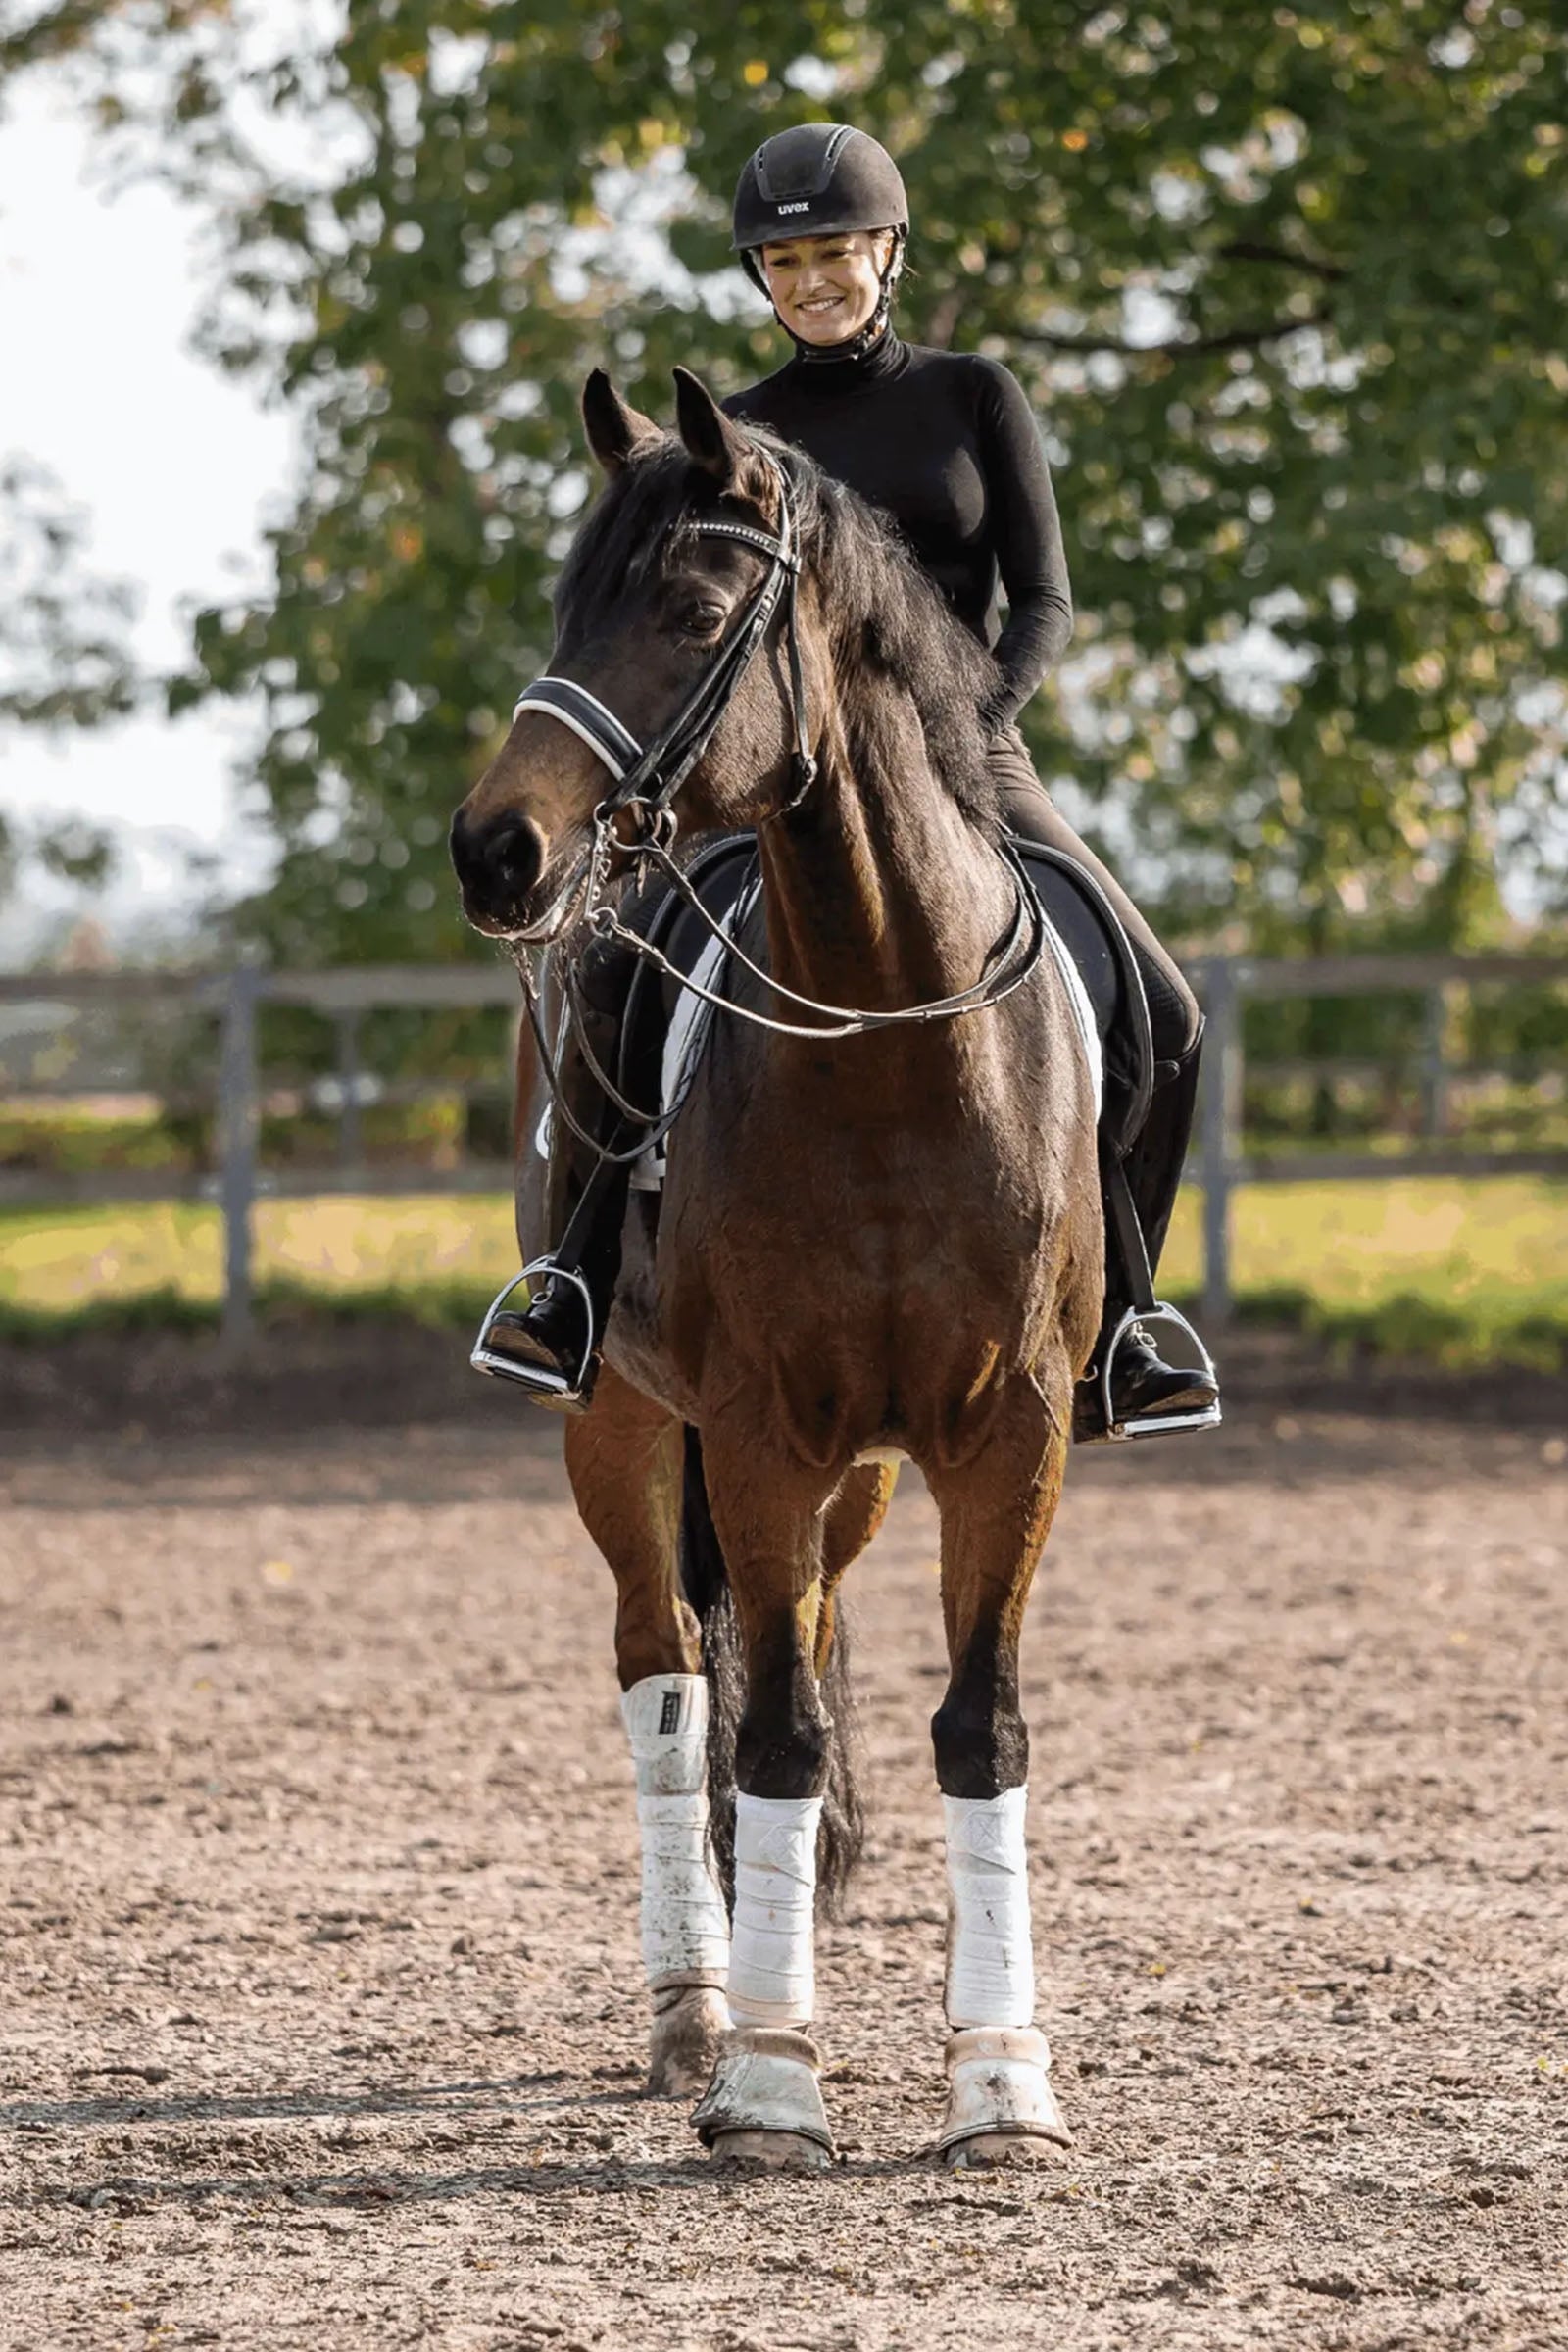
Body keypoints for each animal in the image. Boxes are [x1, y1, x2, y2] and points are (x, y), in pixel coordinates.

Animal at [449, 367, 1103, 2169]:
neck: (887, 1037)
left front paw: (1003, 2085)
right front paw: (768, 2083)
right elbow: (777, 1730)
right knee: (671, 1677)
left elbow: (977, 1724)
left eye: (686, 610)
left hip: (862, 1479)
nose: (495, 854)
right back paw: (696, 2007)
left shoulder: (1007, 1438)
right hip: (616, 1419)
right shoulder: (749, 1430)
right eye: (567, 606)